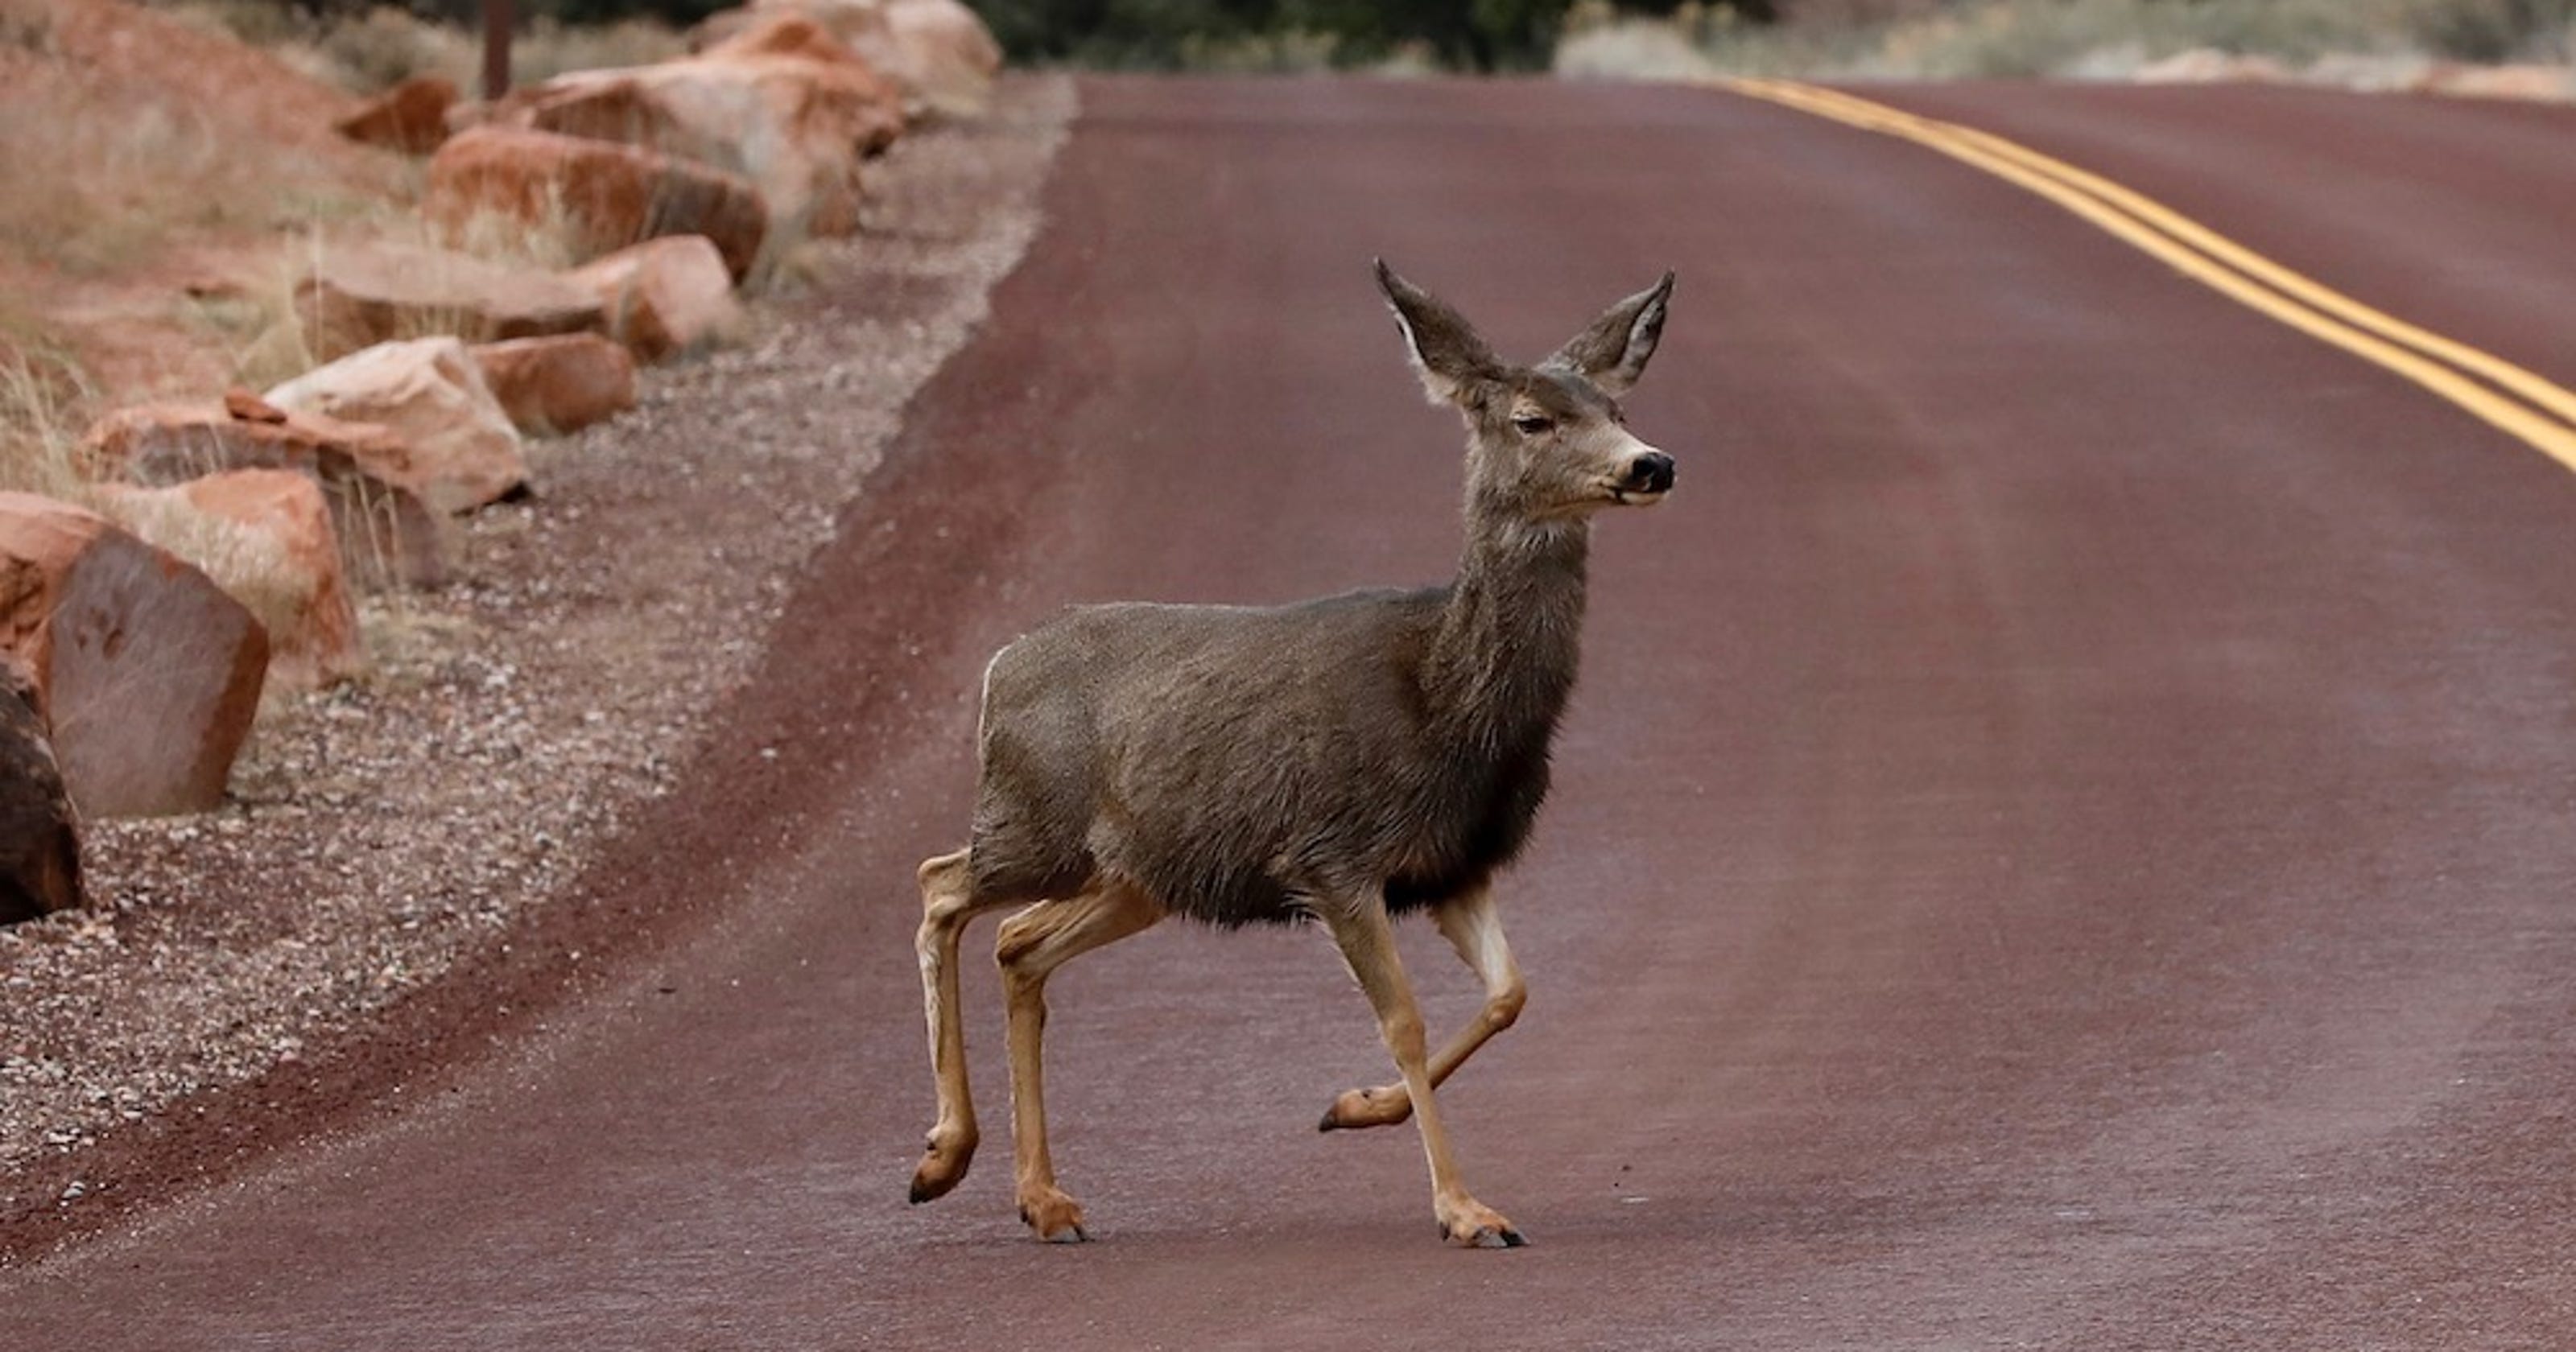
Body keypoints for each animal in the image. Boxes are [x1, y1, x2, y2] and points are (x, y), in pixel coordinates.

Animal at [906, 260, 1676, 1249]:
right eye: (1531, 419)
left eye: (1615, 405)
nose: (1650, 463)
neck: (1448, 701)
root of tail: (1000, 665)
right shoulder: (1329, 852)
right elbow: (1405, 1021)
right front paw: (1465, 1211)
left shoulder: (1453, 861)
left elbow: (1511, 993)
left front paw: (1355, 1107)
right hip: (1032, 822)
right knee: (940, 885)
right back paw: (941, 1158)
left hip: (1137, 877)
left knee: (1017, 945)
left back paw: (1043, 1199)